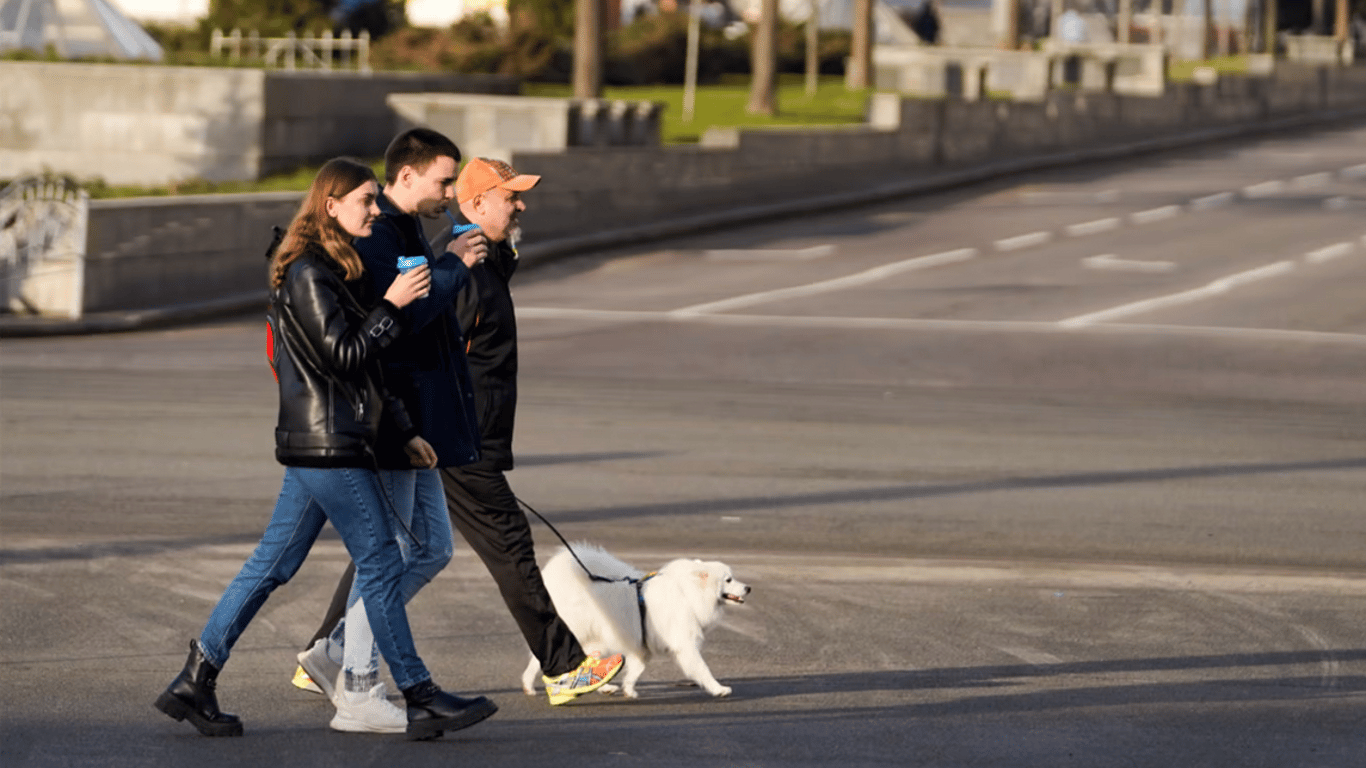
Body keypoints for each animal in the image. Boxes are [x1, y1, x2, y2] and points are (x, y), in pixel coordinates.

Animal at [524, 541, 759, 696]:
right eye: (728, 580)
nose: (748, 588)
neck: (688, 593)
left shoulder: (642, 646)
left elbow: (636, 670)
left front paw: (629, 690)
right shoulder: (684, 645)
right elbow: (702, 669)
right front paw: (719, 689)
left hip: (596, 639)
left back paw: (604, 686)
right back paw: (529, 684)